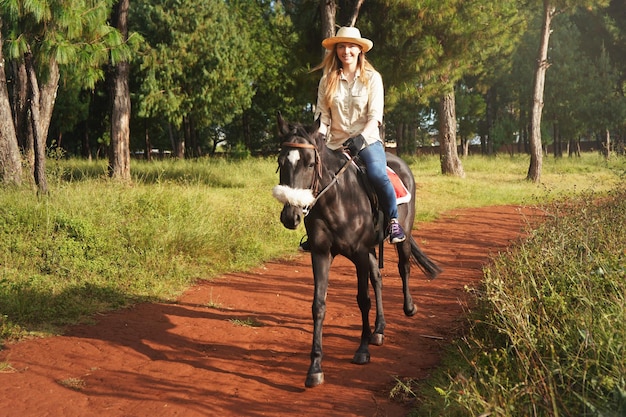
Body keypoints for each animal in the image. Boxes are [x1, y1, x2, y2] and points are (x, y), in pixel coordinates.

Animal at [270, 113, 438, 386]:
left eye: (310, 163)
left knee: (403, 267)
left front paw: (362, 350)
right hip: (370, 251)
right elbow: (319, 305)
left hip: (401, 237)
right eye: (281, 161)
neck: (337, 198)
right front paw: (315, 367)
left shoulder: (359, 253)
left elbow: (363, 299)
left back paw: (409, 308)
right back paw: (379, 329)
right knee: (378, 278)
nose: (290, 216)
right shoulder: (321, 253)